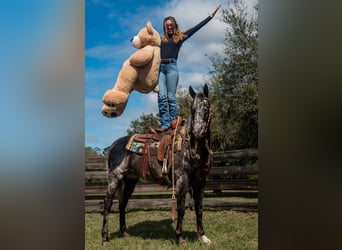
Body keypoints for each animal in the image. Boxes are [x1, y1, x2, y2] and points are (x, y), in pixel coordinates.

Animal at [101, 84, 212, 246]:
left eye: (206, 107)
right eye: (192, 108)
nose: (197, 132)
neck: (192, 148)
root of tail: (113, 145)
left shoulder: (201, 182)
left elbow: (200, 208)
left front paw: (203, 236)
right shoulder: (182, 180)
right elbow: (181, 208)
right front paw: (180, 237)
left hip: (130, 180)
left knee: (122, 203)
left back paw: (125, 233)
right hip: (115, 177)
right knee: (108, 203)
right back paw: (105, 239)